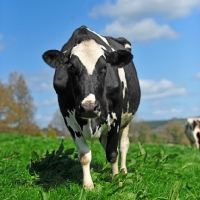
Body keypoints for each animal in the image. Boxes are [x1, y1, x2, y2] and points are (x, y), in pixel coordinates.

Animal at [41, 25, 141, 189]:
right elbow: (84, 155)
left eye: (104, 67)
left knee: (123, 145)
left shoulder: (116, 117)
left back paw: (123, 171)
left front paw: (116, 180)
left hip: (127, 119)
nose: (89, 108)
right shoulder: (69, 119)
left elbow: (113, 152)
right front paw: (88, 185)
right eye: (71, 67)